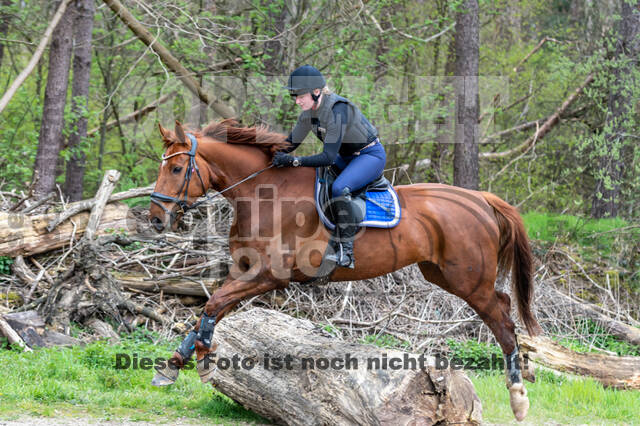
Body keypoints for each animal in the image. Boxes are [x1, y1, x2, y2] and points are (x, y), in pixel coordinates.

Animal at [146, 120, 540, 422]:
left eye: (177, 169)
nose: (155, 219)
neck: (263, 194)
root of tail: (482, 198)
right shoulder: (245, 271)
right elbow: (210, 311)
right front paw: (174, 363)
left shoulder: (268, 275)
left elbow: (212, 306)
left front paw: (202, 361)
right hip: (442, 273)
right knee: (503, 303)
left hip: (467, 279)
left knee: (503, 320)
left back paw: (519, 396)